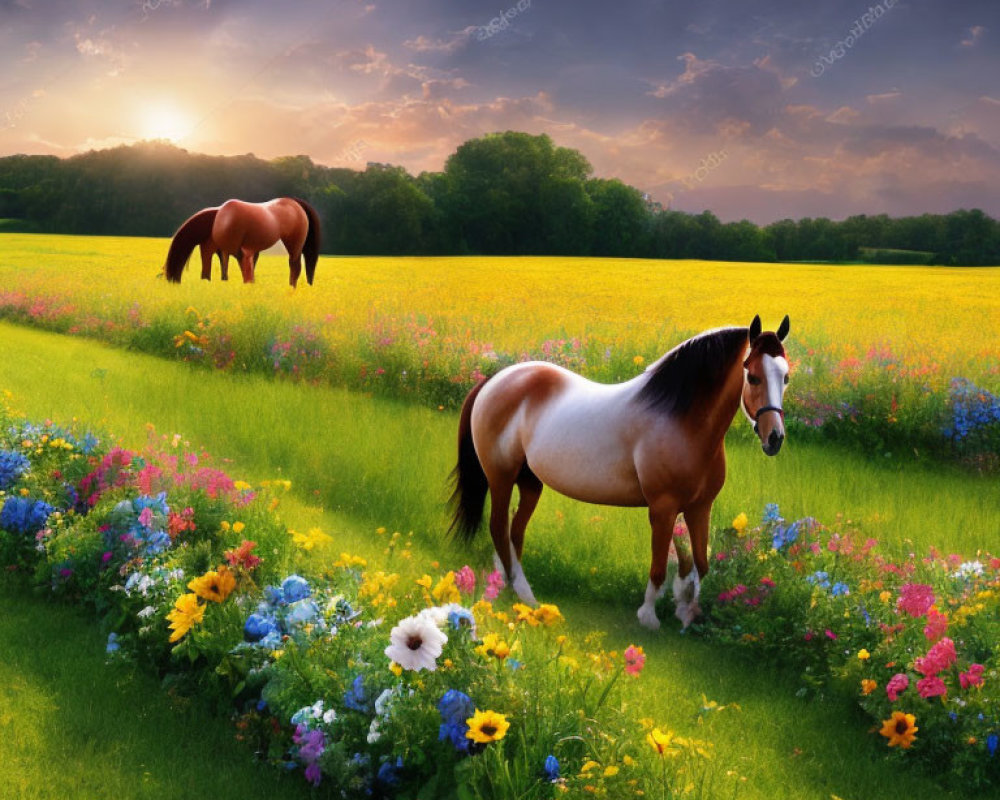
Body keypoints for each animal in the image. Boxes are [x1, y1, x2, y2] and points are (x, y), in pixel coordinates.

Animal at [162, 197, 320, 288]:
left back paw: (291, 288)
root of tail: (297, 204)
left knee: (295, 266)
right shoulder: (228, 250)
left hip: (294, 246)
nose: (172, 282)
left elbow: (245, 273)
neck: (218, 219)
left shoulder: (240, 252)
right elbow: (225, 270)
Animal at [452, 316, 788, 628]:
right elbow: (658, 566)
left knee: (514, 532)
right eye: (752, 376)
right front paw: (649, 617)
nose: (774, 439)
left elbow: (699, 564)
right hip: (500, 477)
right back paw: (518, 591)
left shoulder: (699, 507)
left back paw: (518, 588)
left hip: (530, 482)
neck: (682, 420)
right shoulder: (663, 508)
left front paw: (687, 611)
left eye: (785, 376)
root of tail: (495, 380)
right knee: (498, 527)